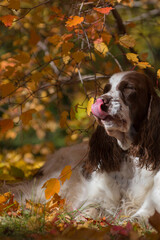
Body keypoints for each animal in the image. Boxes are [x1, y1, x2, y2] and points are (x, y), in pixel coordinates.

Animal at [2, 71, 160, 221]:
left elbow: (136, 219)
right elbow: (90, 210)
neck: (129, 155)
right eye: (106, 89)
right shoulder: (98, 197)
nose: (102, 100)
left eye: (128, 87)